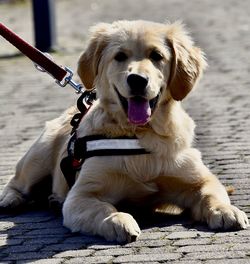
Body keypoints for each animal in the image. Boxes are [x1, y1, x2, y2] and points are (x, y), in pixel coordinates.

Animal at [0, 20, 249, 243]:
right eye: (119, 56)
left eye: (157, 56)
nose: (137, 80)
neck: (140, 134)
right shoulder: (82, 195)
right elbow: (102, 208)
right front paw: (118, 221)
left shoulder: (199, 179)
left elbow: (210, 193)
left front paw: (225, 210)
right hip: (38, 158)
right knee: (17, 182)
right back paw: (11, 200)